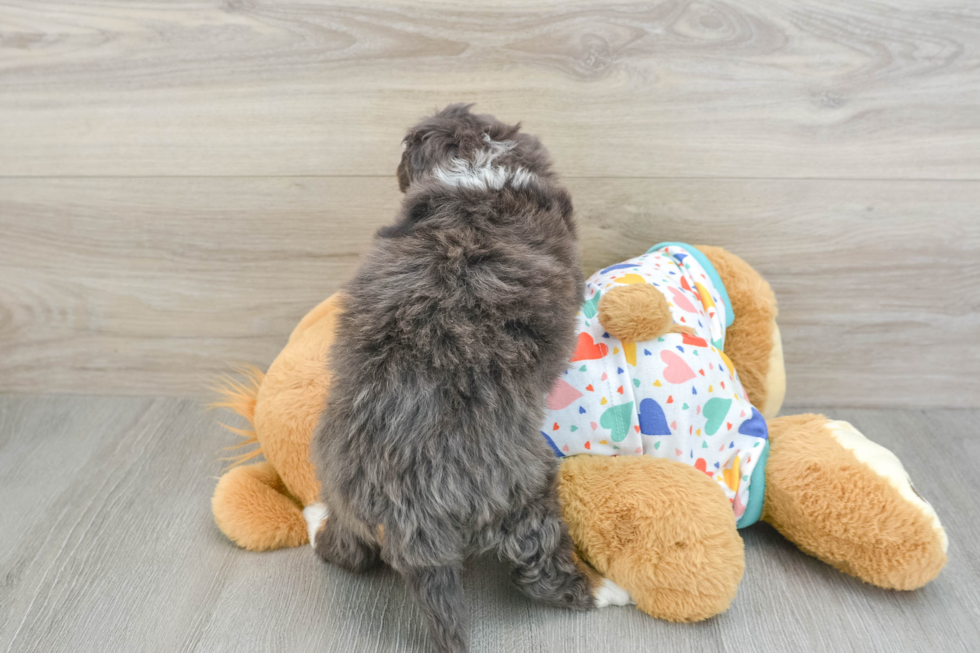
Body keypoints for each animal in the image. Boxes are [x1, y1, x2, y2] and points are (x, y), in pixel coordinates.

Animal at [310, 104, 592, 648]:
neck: (478, 167)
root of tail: (411, 511)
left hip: (342, 493)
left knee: (351, 548)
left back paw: (323, 538)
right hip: (524, 493)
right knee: (537, 562)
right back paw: (585, 592)